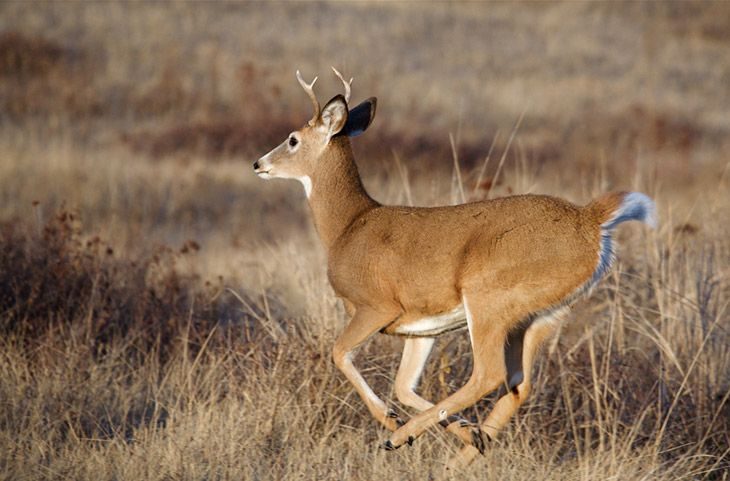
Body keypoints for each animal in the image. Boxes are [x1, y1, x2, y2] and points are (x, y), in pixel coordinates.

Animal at [252, 69, 656, 466]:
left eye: (292, 139)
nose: (258, 164)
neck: (348, 226)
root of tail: (591, 220)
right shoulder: (421, 327)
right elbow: (404, 385)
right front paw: (462, 430)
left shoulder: (377, 305)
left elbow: (340, 354)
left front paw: (392, 422)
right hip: (545, 314)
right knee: (519, 384)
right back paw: (463, 453)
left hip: (489, 295)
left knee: (490, 374)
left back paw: (402, 437)